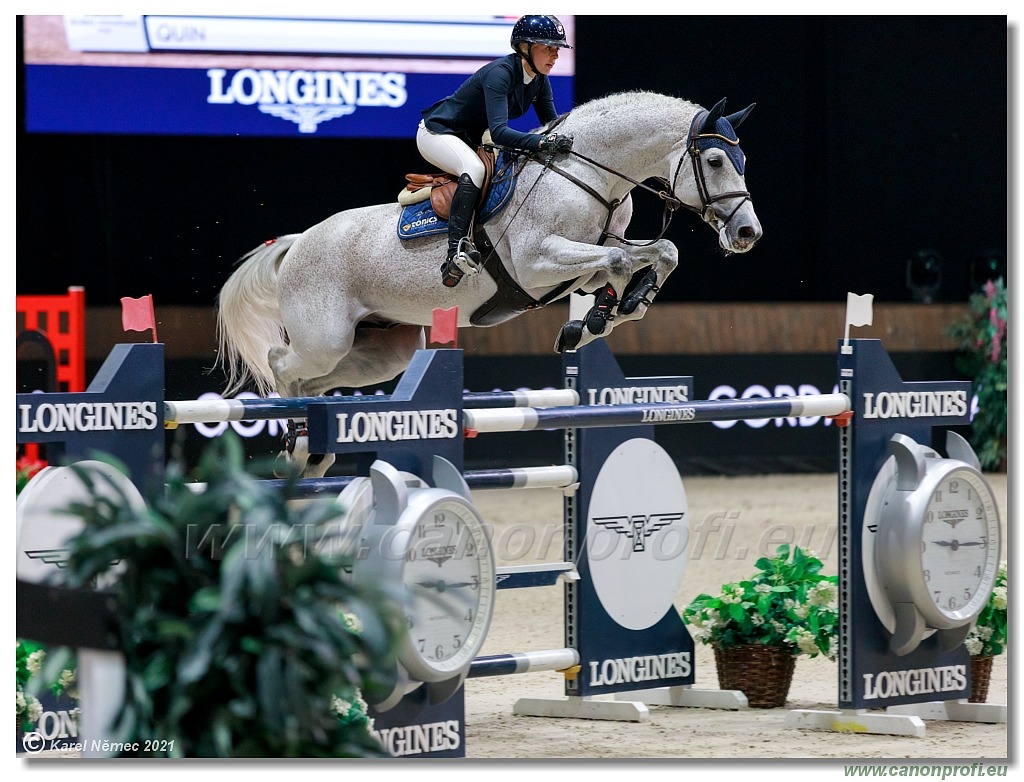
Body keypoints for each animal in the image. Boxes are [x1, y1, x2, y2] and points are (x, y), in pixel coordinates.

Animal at [216, 88, 761, 472]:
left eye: (742, 161)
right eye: (714, 160)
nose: (747, 233)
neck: (590, 176)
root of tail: (297, 242)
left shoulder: (589, 258)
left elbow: (656, 253)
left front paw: (613, 312)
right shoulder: (538, 262)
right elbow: (618, 263)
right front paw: (598, 319)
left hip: (381, 352)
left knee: (317, 381)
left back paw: (311, 448)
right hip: (324, 338)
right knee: (282, 363)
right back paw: (294, 443)